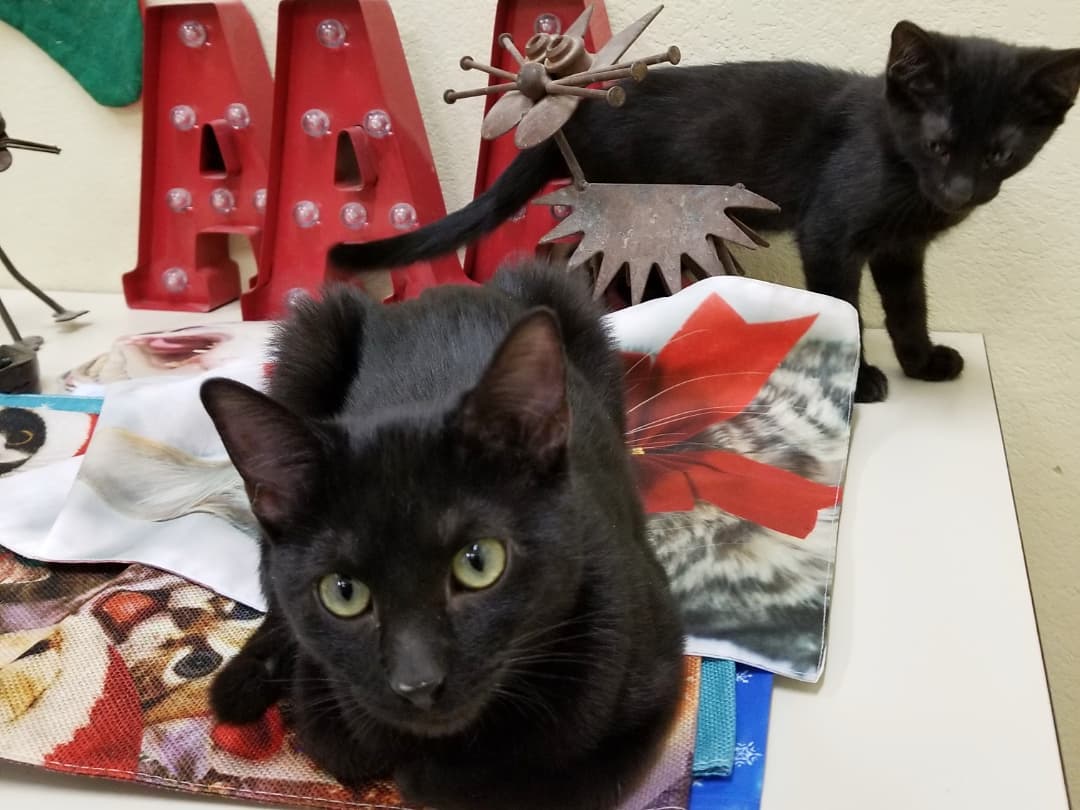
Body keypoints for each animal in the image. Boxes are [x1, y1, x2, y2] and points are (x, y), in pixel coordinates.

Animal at [200, 263, 682, 807]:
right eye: (343, 592)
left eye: (479, 562)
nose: (418, 683)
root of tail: (439, 292)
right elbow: (341, 742)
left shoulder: (649, 689)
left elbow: (537, 785)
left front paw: (430, 774)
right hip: (308, 336)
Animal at [328, 23, 1080, 403]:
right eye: (939, 144)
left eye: (1001, 153)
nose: (960, 190)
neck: (899, 165)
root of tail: (582, 113)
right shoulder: (830, 232)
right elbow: (845, 302)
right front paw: (861, 378)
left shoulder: (901, 250)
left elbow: (908, 307)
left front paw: (921, 362)